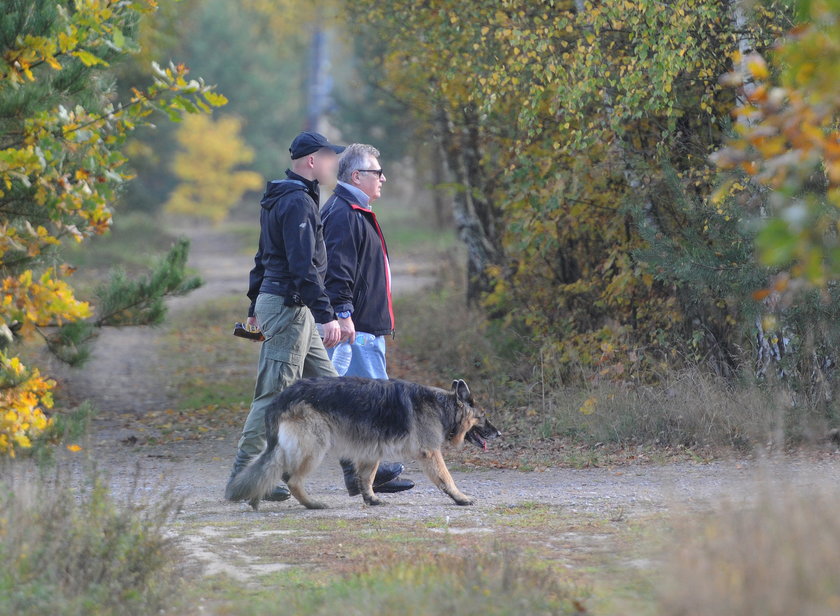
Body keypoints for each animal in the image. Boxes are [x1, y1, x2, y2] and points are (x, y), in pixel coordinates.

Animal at [223, 376, 498, 510]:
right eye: (484, 417)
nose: (499, 433)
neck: (444, 406)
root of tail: (282, 397)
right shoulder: (430, 453)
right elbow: (446, 478)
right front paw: (460, 498)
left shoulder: (371, 453)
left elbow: (366, 477)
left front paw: (371, 499)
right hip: (315, 448)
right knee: (292, 480)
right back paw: (312, 504)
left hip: (289, 448)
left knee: (266, 468)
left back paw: (256, 498)